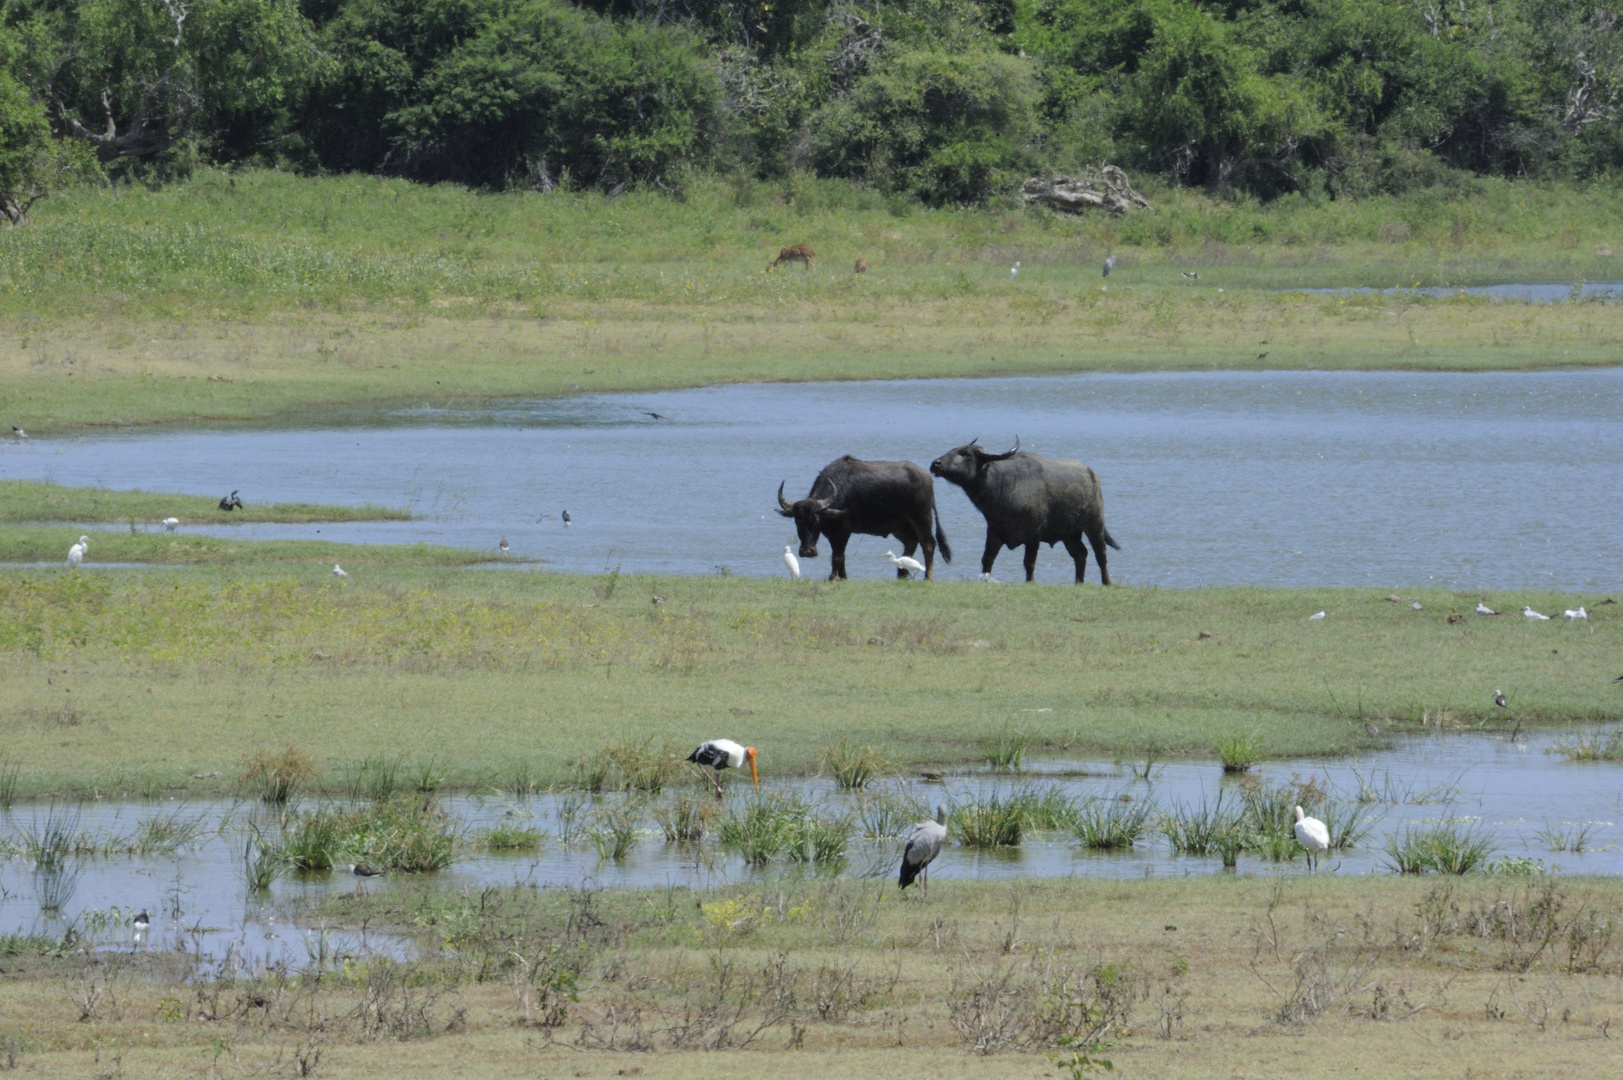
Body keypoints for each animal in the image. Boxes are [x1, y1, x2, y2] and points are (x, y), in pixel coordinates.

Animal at [775, 451, 947, 578]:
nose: (807, 552)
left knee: (928, 544)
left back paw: (927, 577)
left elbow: (837, 556)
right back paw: (901, 574)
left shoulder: (843, 531)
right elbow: (841, 556)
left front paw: (833, 578)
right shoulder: (833, 534)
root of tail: (927, 478)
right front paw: (843, 577)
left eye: (816, 520)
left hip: (921, 517)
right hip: (900, 525)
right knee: (910, 542)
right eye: (797, 521)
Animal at [934, 435, 1123, 581]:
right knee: (1081, 554)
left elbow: (1029, 563)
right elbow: (987, 560)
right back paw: (1078, 582)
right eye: (953, 449)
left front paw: (1030, 581)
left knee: (1101, 555)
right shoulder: (994, 533)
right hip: (1069, 534)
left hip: (1094, 524)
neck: (1005, 487)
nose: (936, 464)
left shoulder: (1034, 535)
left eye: (966, 454)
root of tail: (1092, 475)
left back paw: (1107, 583)